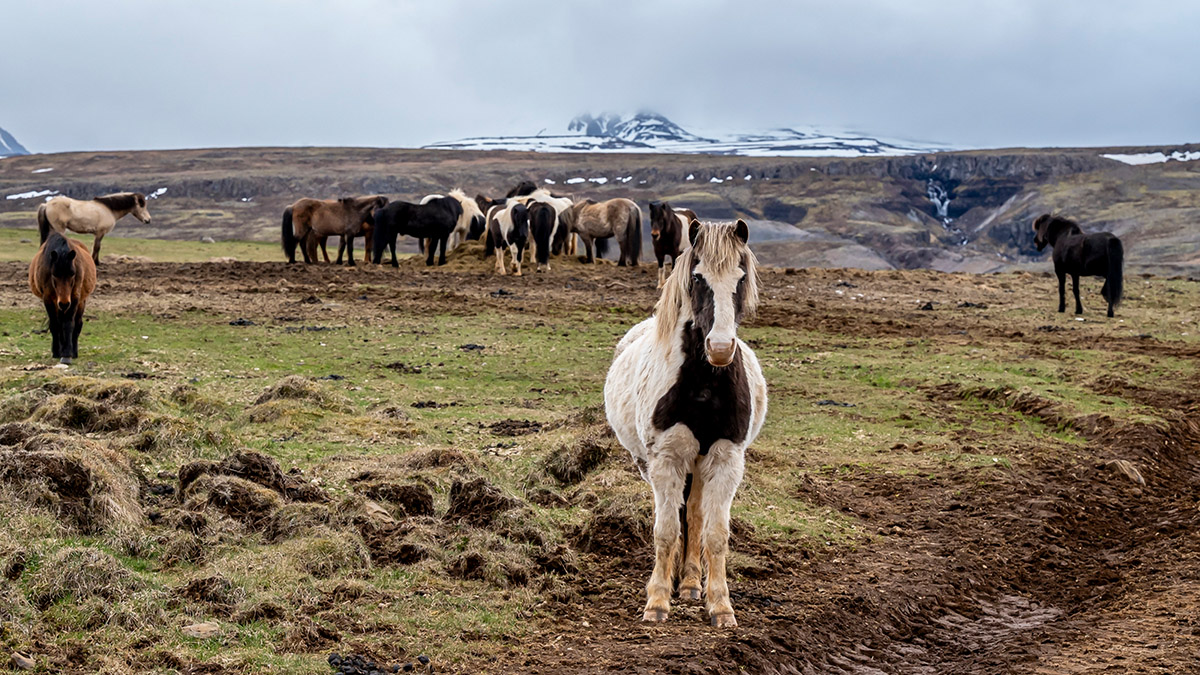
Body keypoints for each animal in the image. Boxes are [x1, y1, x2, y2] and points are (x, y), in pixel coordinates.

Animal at [29, 233, 98, 365]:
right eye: (54, 274)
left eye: (72, 273)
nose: (65, 303)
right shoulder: (48, 299)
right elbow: (55, 324)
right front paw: (57, 352)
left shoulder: (74, 298)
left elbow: (69, 324)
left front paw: (67, 355)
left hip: (80, 302)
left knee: (78, 324)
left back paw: (74, 351)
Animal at [604, 220, 766, 628]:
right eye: (697, 277)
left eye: (741, 277)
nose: (720, 349)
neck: (704, 385)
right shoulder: (666, 460)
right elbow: (665, 531)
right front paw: (657, 601)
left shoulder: (726, 460)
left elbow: (715, 533)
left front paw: (720, 605)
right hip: (655, 463)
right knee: (677, 515)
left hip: (699, 462)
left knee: (693, 513)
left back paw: (691, 582)